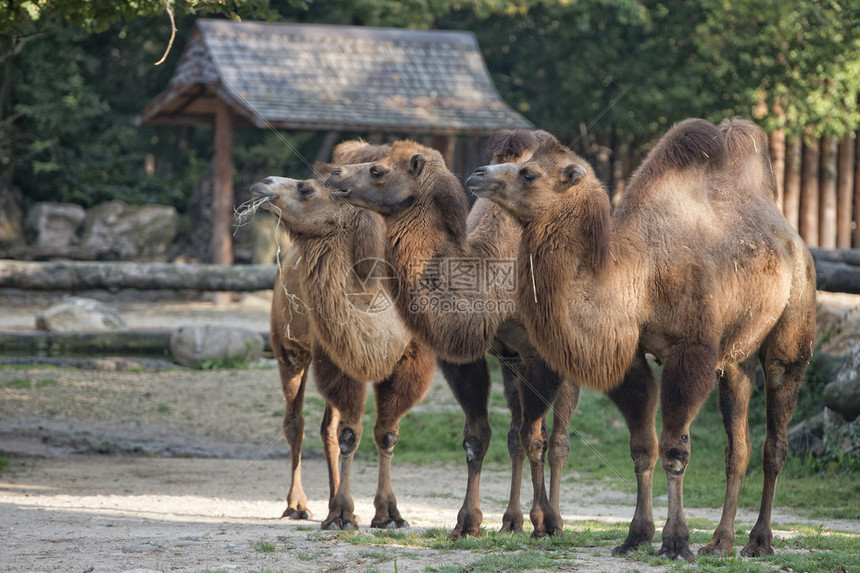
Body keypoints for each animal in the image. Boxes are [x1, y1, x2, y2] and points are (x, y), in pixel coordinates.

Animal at [252, 141, 434, 528]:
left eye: (305, 188)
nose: (262, 184)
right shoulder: (335, 356)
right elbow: (350, 433)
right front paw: (341, 514)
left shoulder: (411, 358)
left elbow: (386, 433)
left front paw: (389, 514)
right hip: (288, 348)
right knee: (297, 422)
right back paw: (298, 505)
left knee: (326, 428)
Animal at [326, 134, 656, 540]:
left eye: (378, 170)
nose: (334, 174)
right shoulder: (472, 355)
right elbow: (479, 436)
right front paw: (467, 521)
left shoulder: (543, 353)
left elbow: (538, 439)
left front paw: (546, 521)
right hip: (510, 364)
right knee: (515, 434)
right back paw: (512, 519)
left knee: (557, 440)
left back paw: (554, 519)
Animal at [466, 117, 816, 560]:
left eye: (528, 173)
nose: (476, 174)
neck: (640, 276)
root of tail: (794, 240)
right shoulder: (631, 355)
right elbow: (642, 447)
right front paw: (637, 535)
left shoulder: (691, 351)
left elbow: (674, 449)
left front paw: (676, 541)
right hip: (738, 358)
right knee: (738, 447)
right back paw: (720, 542)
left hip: (792, 330)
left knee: (776, 437)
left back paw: (759, 540)